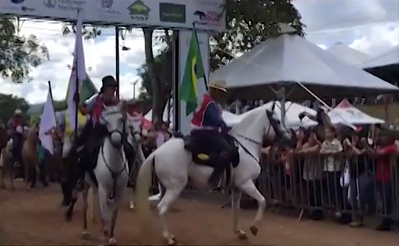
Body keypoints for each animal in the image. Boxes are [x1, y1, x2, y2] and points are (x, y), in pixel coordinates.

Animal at [81, 102, 130, 244]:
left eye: (121, 119)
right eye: (106, 122)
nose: (116, 140)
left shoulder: (119, 191)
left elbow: (113, 215)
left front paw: (111, 236)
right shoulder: (103, 189)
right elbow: (105, 214)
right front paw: (102, 235)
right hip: (86, 184)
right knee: (86, 205)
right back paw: (86, 231)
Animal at [136, 105, 292, 244]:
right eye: (277, 121)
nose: (288, 140)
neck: (245, 146)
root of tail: (157, 152)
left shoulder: (237, 187)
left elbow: (236, 210)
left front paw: (239, 232)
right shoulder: (246, 183)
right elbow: (262, 201)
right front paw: (254, 227)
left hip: (166, 188)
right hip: (175, 188)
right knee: (161, 208)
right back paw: (168, 238)